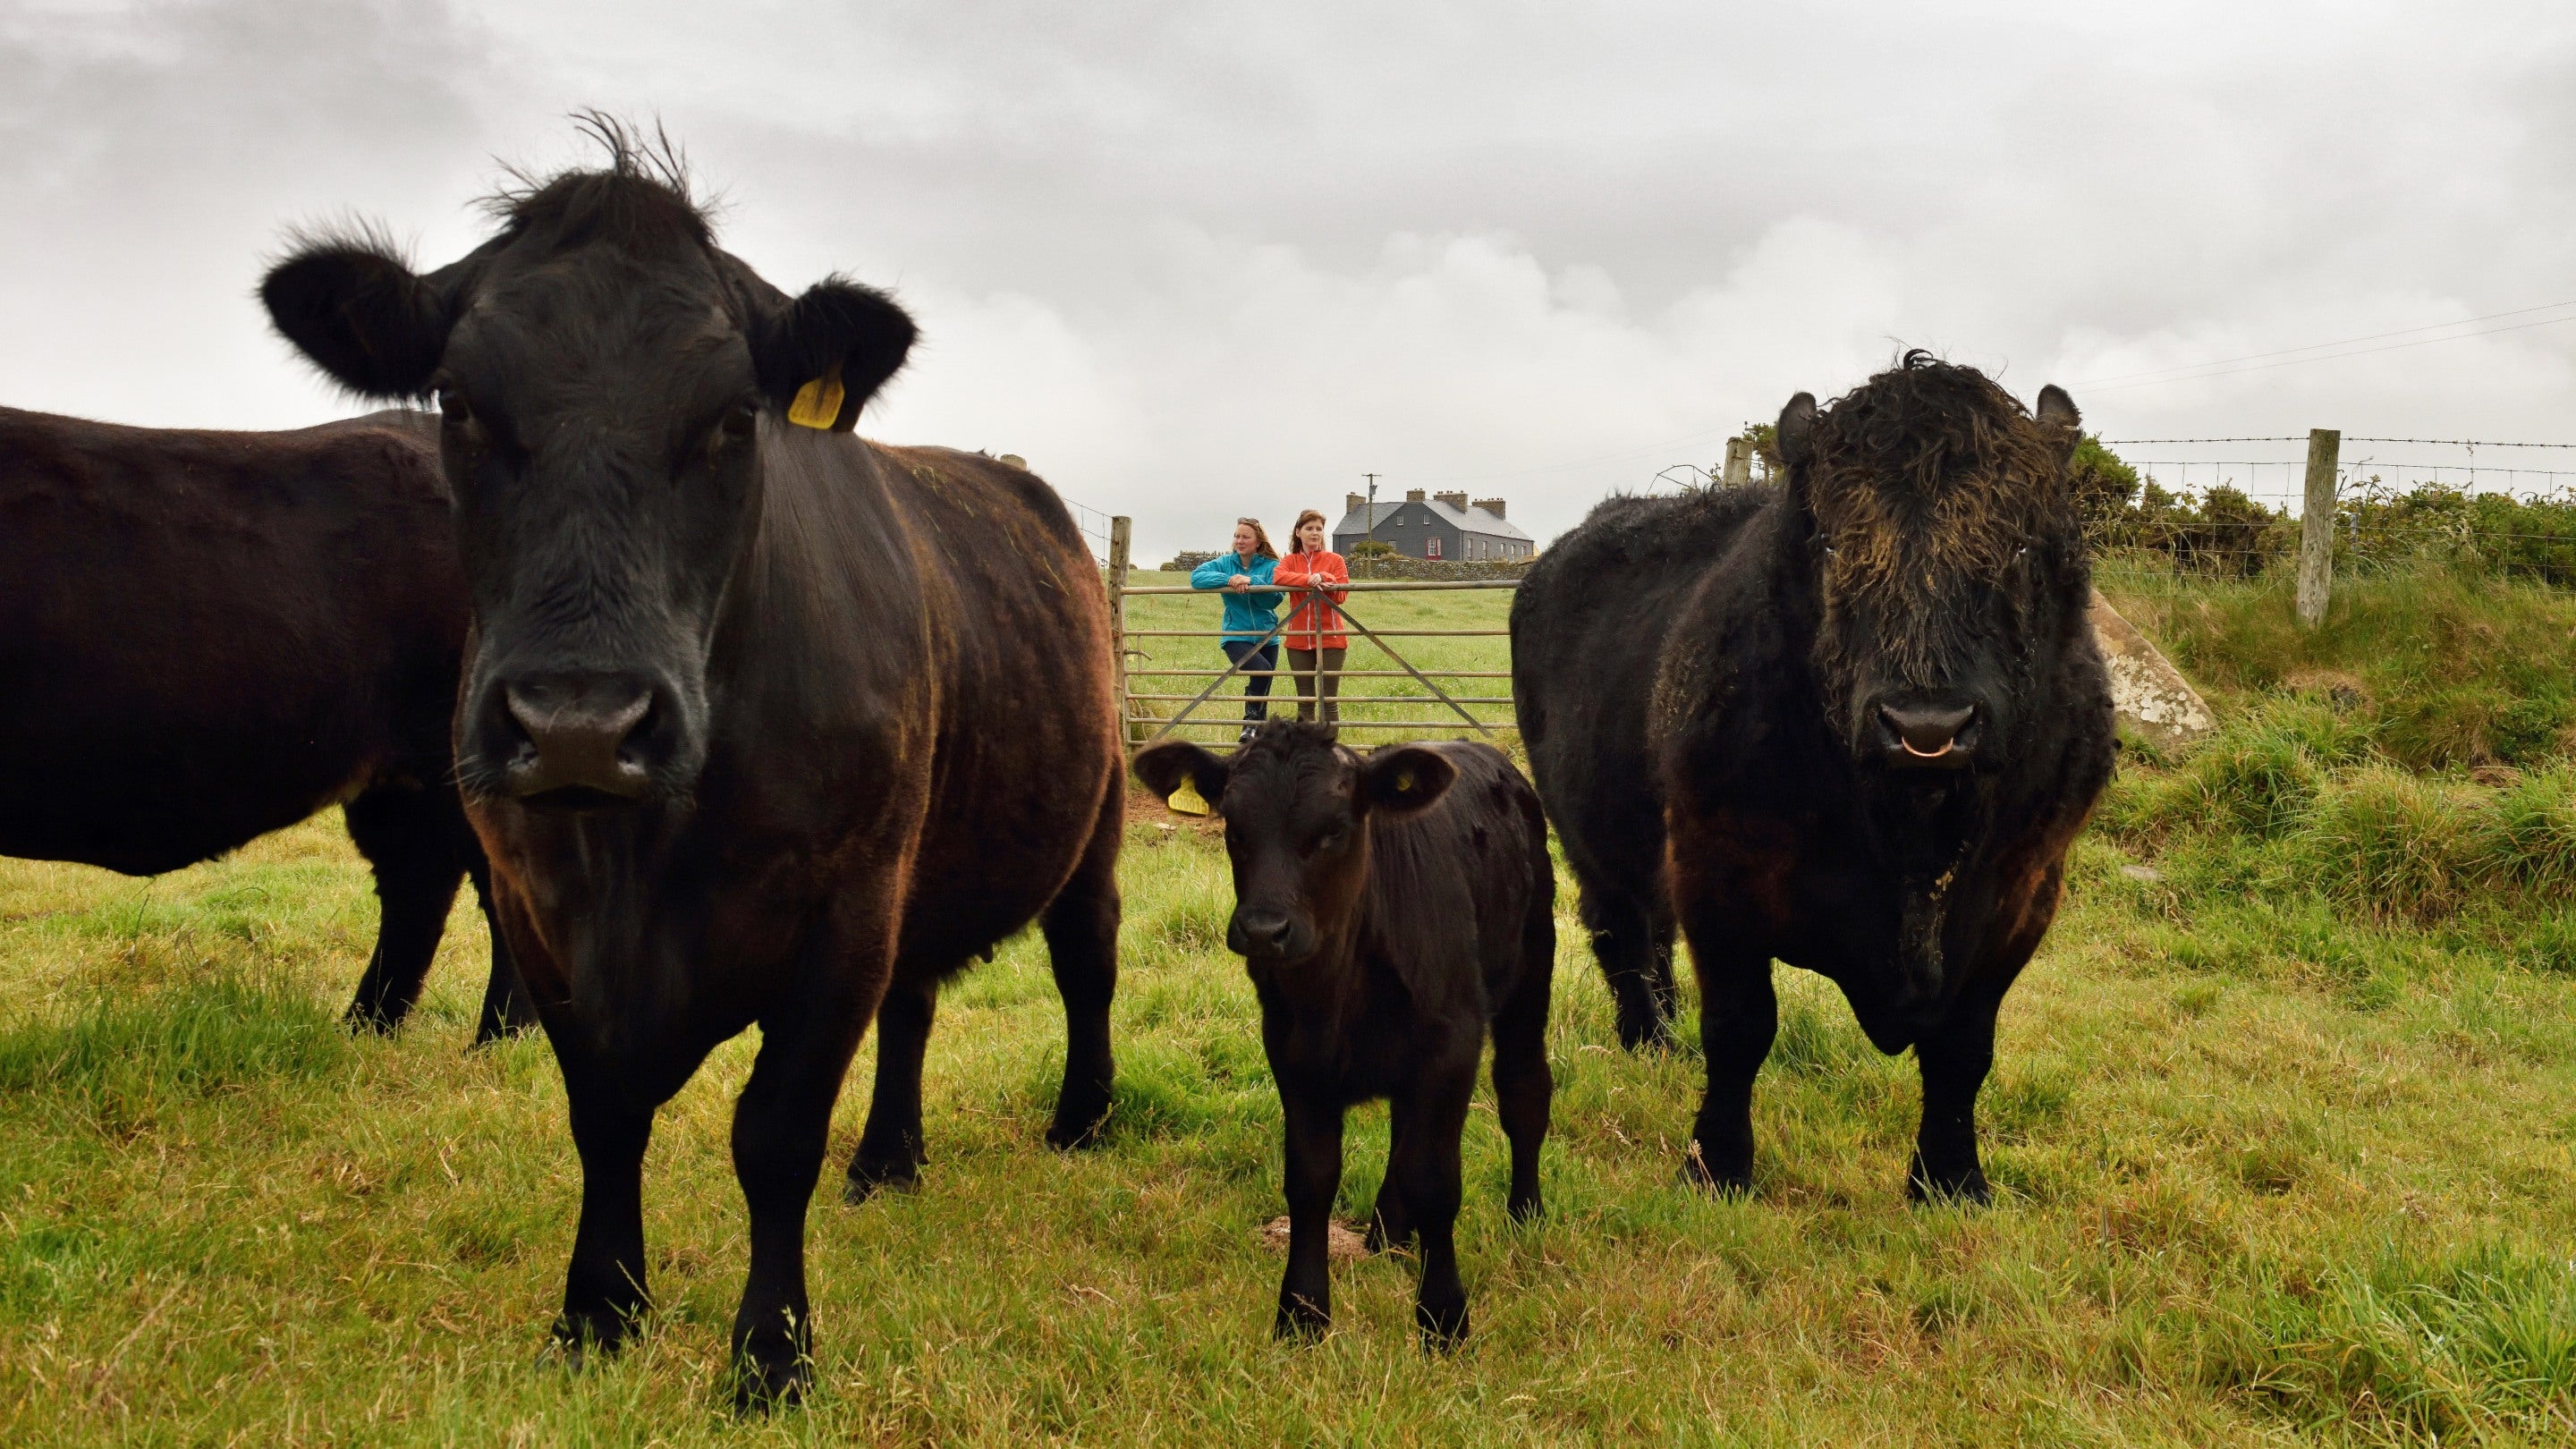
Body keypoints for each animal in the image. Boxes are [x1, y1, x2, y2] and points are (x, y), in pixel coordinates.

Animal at [258, 126, 1123, 1407]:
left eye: (732, 417)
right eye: (458, 403)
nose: (580, 722)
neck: (641, 862)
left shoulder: (844, 908)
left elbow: (774, 1136)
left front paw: (770, 1356)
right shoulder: (535, 909)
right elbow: (603, 1117)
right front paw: (596, 1315)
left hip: (1088, 811)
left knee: (1086, 958)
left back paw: (1082, 1123)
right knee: (915, 1001)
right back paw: (889, 1162)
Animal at [1134, 723, 1554, 1348]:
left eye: (1333, 829)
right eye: (1234, 827)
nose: (1264, 930)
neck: (1339, 992)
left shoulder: (1451, 1045)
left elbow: (1435, 1180)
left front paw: (1443, 1318)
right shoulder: (1292, 1056)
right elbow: (1310, 1179)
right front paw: (1301, 1313)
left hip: (1528, 978)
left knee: (1524, 1092)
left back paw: (1525, 1215)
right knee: (1404, 1130)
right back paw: (1388, 1233)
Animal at [1511, 352, 2114, 1203]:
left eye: (2024, 548)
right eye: (1830, 546)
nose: (1927, 726)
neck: (1908, 830)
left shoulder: (2024, 890)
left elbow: (1965, 1049)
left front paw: (1952, 1179)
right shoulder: (1716, 873)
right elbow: (1740, 1028)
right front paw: (1718, 1166)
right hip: (1591, 835)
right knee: (1622, 930)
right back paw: (1649, 1043)